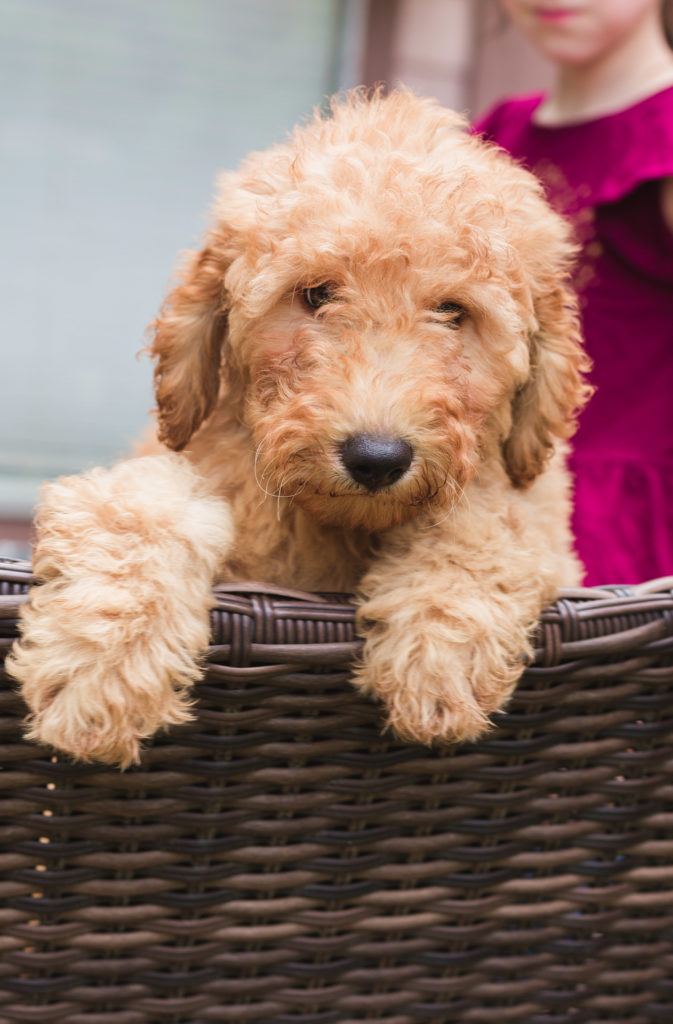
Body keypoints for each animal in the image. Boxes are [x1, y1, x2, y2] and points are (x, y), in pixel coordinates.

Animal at [9, 88, 590, 765]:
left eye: (452, 311)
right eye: (315, 294)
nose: (376, 458)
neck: (338, 525)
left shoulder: (540, 515)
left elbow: (491, 522)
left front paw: (439, 655)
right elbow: (140, 507)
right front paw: (98, 670)